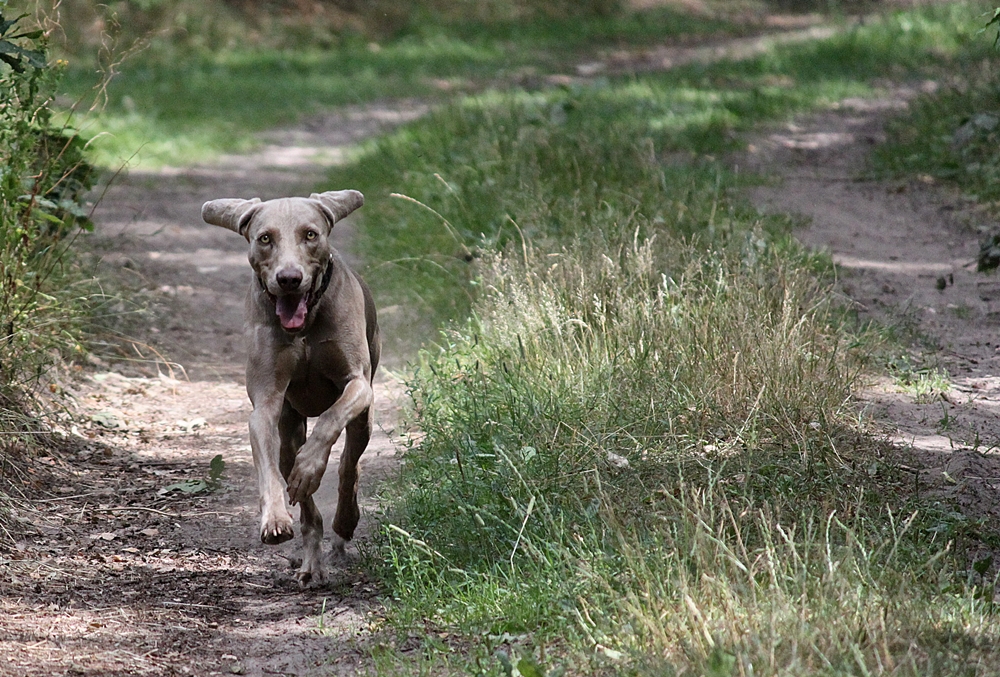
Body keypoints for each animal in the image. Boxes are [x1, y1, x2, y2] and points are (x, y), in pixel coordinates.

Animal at [201, 187, 380, 584]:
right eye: (265, 238)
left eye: (310, 234)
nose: (289, 278)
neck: (306, 321)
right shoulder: (266, 405)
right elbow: (269, 469)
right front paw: (275, 519)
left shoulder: (358, 384)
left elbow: (330, 421)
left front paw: (310, 468)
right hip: (289, 426)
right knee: (305, 501)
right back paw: (312, 562)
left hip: (364, 420)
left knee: (349, 466)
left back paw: (344, 521)